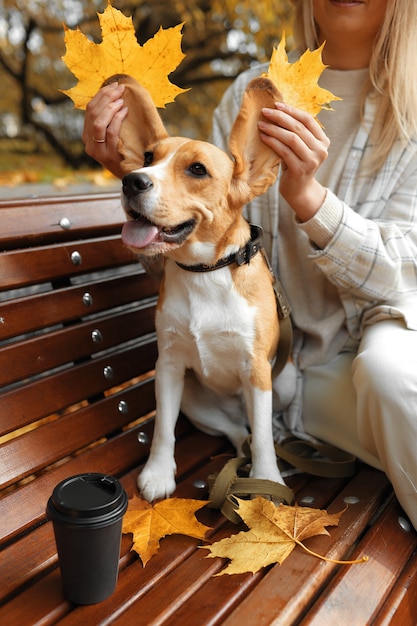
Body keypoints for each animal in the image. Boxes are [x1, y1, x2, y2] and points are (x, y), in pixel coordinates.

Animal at [112, 74, 290, 502]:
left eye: (197, 169)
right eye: (147, 157)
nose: (131, 181)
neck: (205, 273)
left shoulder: (257, 371)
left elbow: (263, 438)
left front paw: (268, 479)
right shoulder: (169, 366)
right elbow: (163, 429)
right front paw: (158, 473)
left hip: (284, 382)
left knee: (258, 430)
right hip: (195, 400)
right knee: (237, 434)